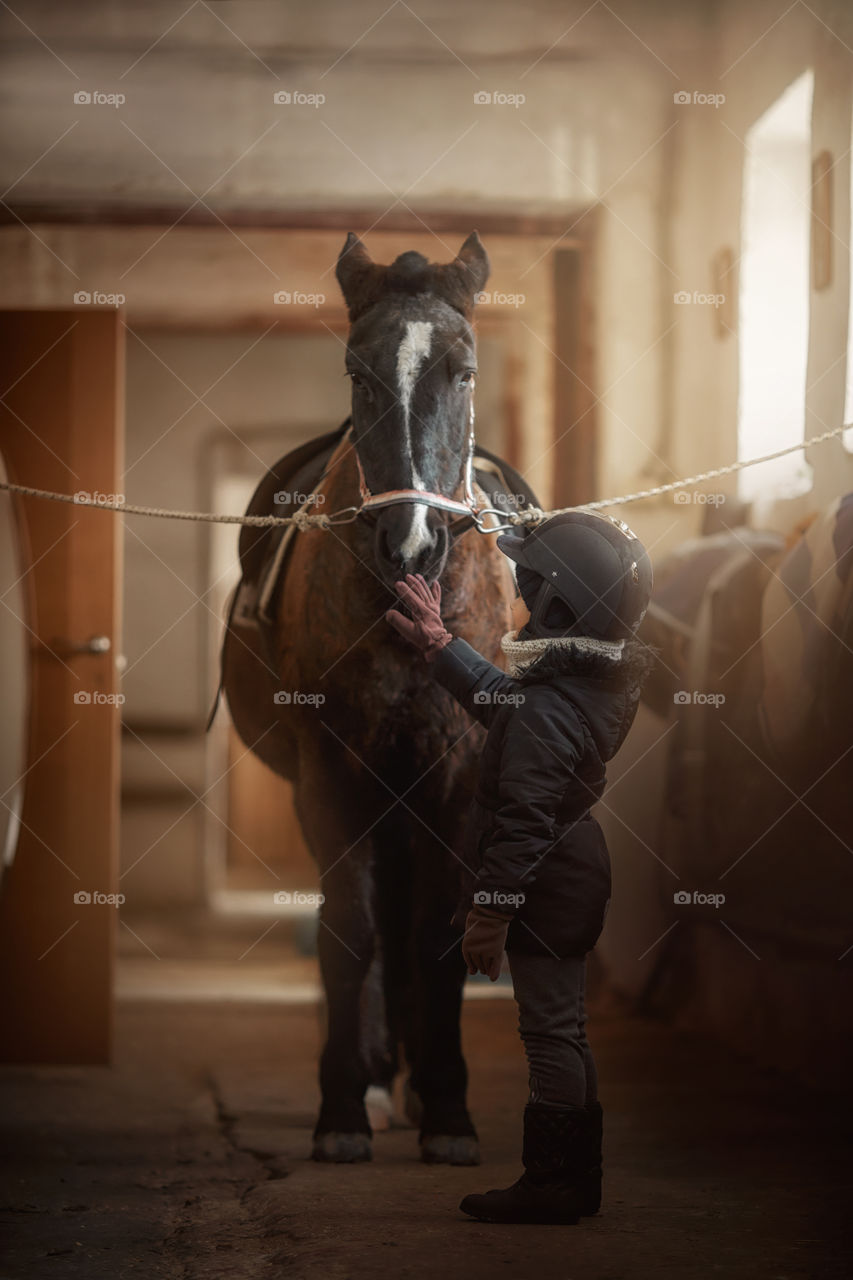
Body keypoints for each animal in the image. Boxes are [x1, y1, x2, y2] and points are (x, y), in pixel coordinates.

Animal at [219, 235, 537, 1167]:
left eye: (463, 372)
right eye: (356, 372)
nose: (411, 544)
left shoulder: (456, 773)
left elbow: (434, 930)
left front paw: (450, 1111)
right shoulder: (333, 771)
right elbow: (350, 928)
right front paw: (342, 1107)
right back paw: (374, 1073)